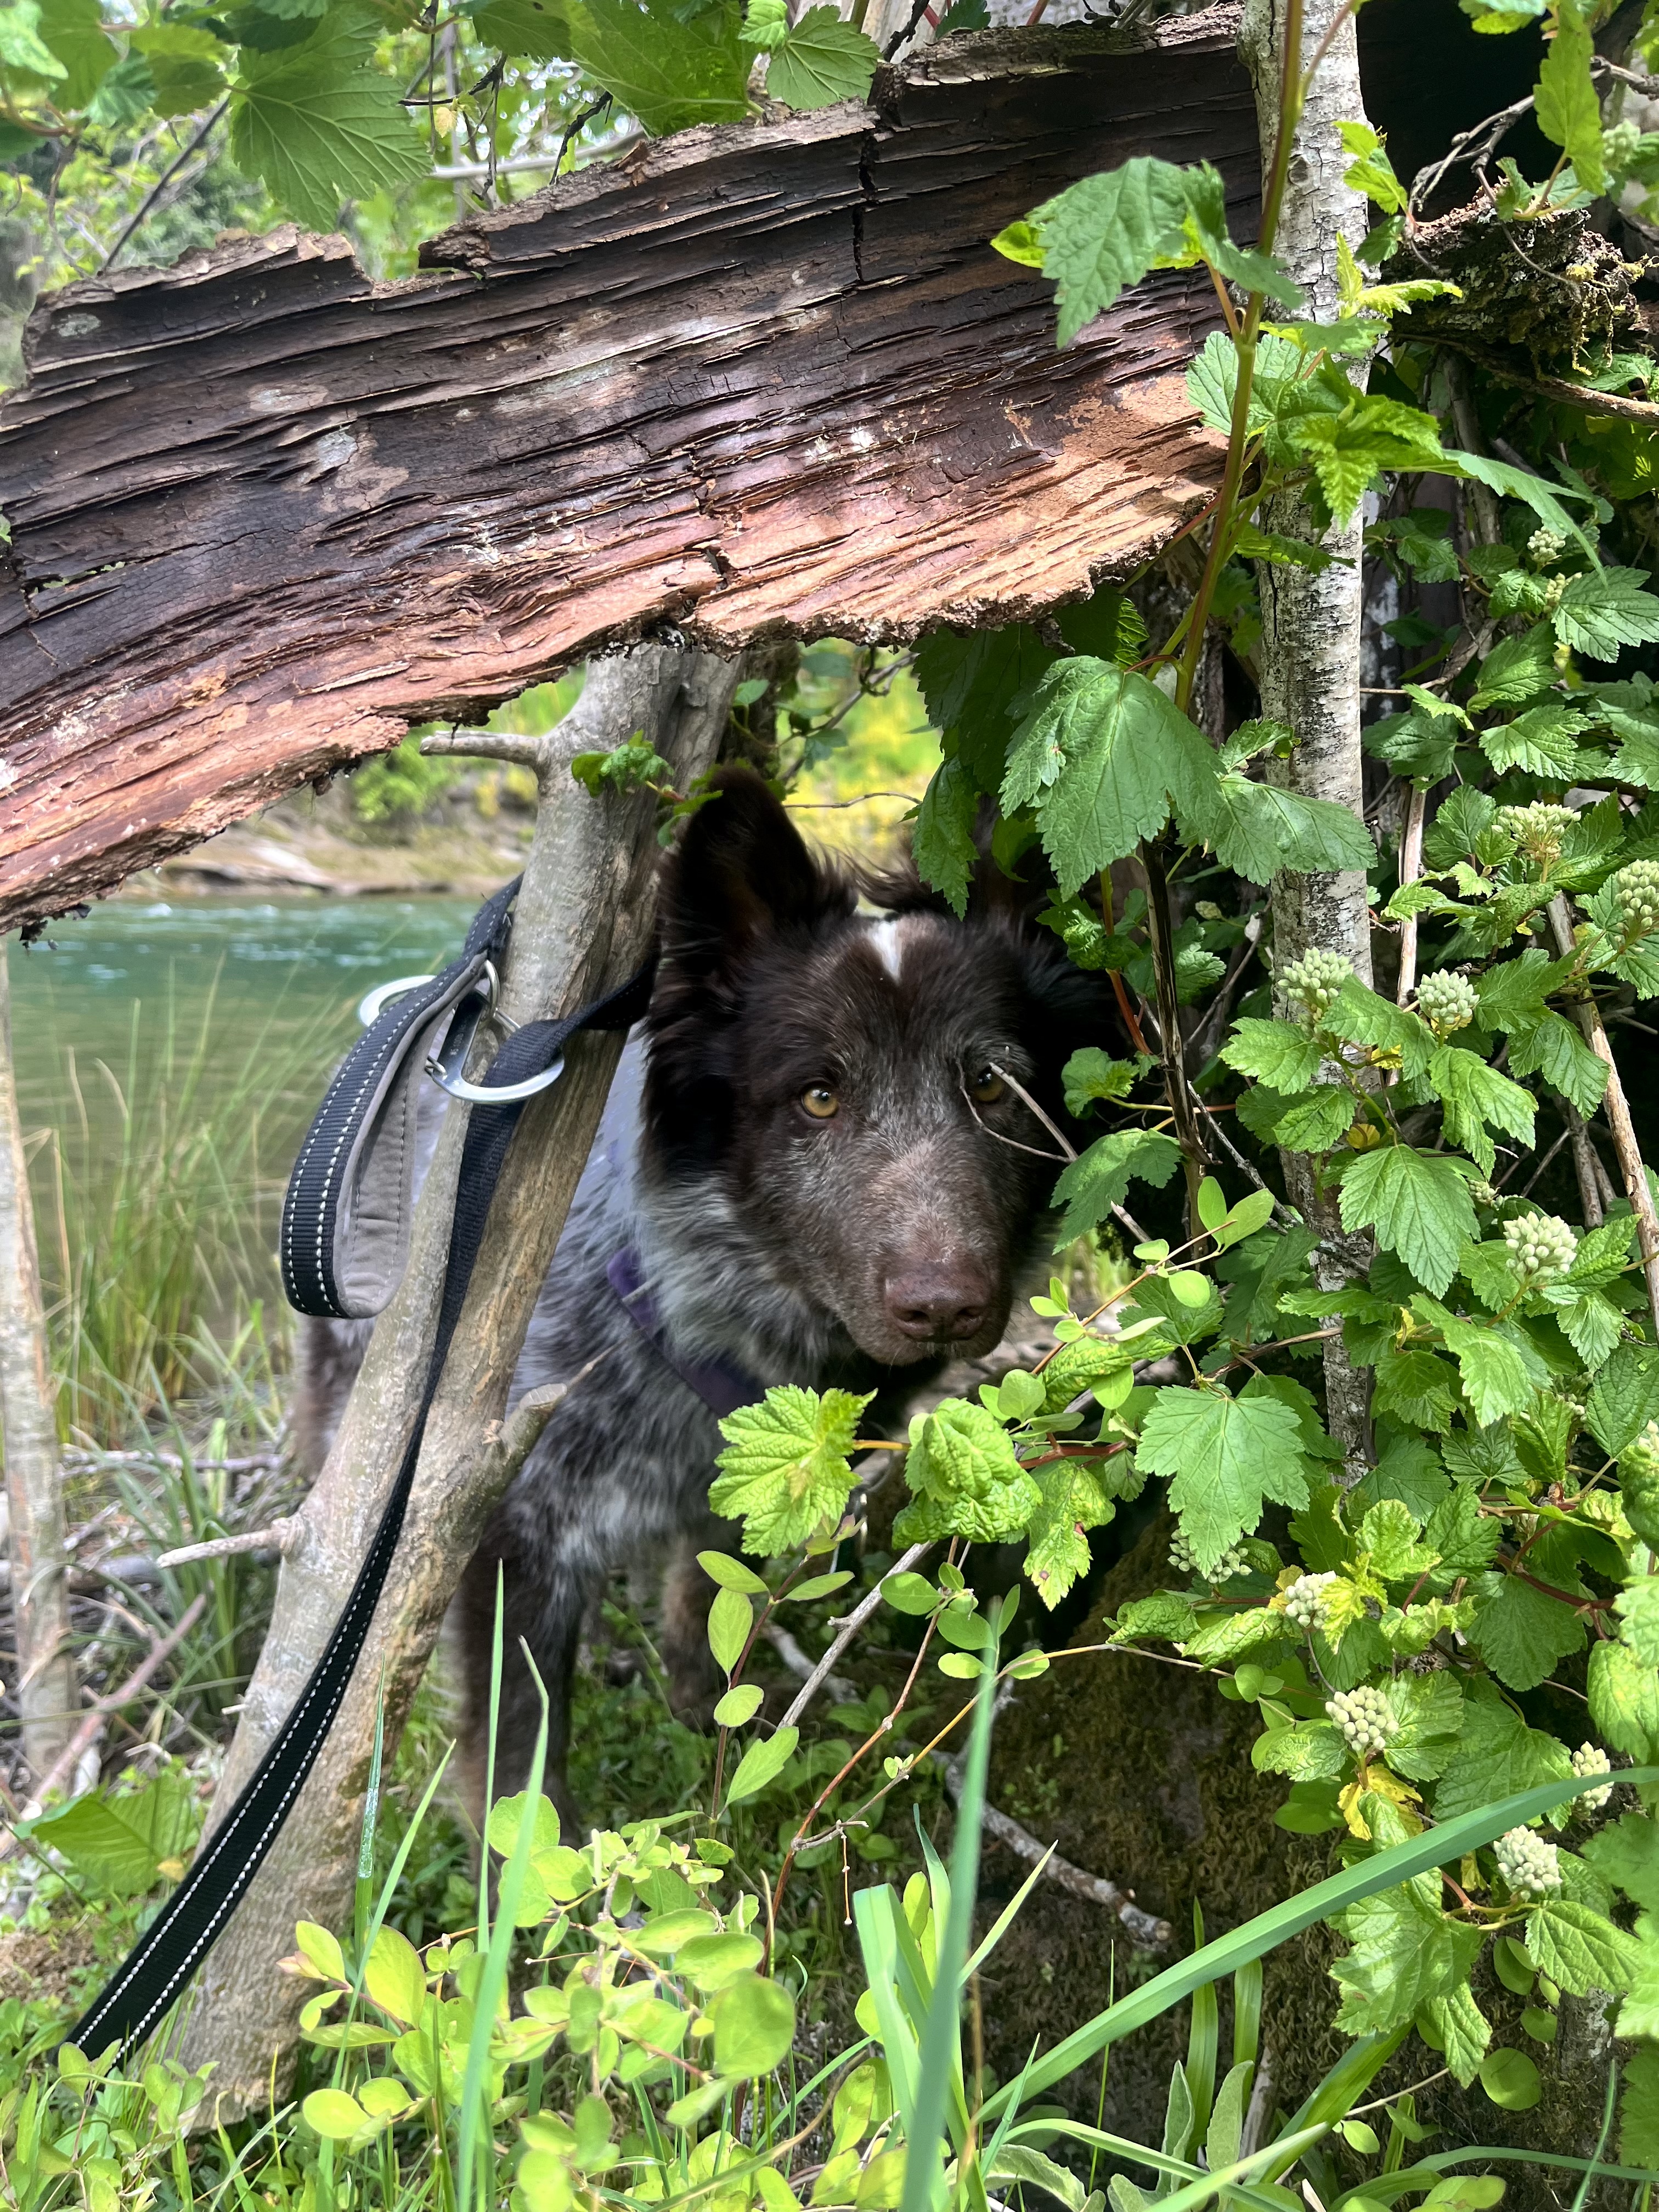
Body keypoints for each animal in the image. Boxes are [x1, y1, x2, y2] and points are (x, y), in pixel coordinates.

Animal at [295, 767, 1111, 1824]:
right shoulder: (515, 1528)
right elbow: (523, 1750)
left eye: (991, 1085)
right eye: (817, 1097)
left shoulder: (736, 1505)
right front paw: (526, 1867)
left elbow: (704, 1613)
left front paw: (708, 1728)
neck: (704, 1315)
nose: (944, 1308)